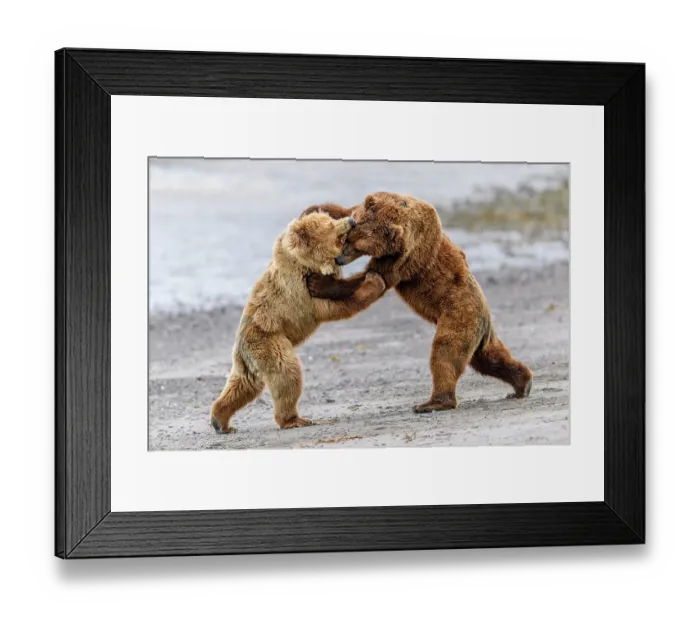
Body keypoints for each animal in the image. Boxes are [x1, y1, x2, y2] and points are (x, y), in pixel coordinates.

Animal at [210, 211, 386, 433]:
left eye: (331, 218)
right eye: (331, 224)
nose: (351, 220)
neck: (308, 262)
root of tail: (240, 349)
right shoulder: (300, 290)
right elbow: (337, 306)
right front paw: (374, 280)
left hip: (250, 363)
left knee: (243, 386)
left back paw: (220, 421)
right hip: (269, 343)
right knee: (287, 374)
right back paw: (294, 419)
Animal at [304, 192, 533, 412]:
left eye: (357, 245)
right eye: (346, 238)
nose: (339, 259)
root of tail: (485, 313)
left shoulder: (407, 255)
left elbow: (376, 276)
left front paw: (319, 283)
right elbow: (346, 210)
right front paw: (314, 210)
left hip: (459, 314)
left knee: (445, 352)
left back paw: (433, 403)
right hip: (477, 331)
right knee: (488, 358)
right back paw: (522, 383)